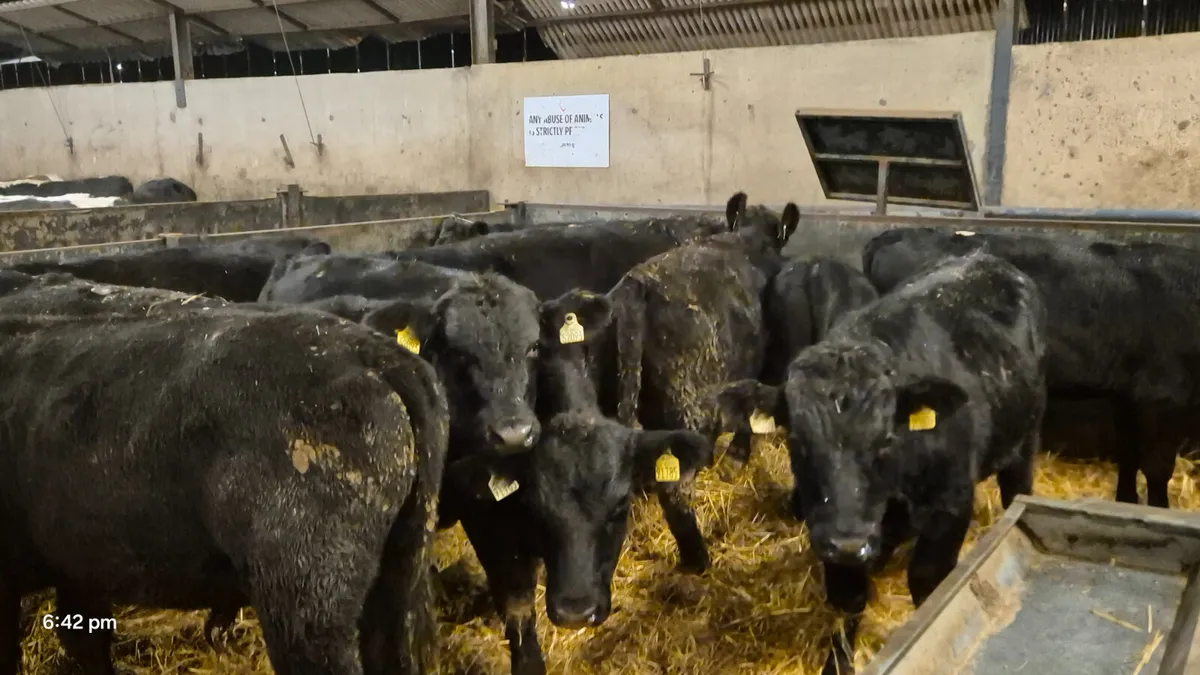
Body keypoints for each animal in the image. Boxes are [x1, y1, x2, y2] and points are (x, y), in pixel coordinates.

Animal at [714, 251, 1048, 675]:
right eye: (798, 443)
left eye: (887, 439)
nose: (848, 544)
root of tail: (985, 257)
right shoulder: (831, 528)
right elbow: (848, 598)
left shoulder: (950, 505)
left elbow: (928, 583)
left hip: (1026, 438)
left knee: (1015, 488)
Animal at [862, 227, 1200, 509]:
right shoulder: (1163, 397)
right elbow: (1157, 468)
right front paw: (1159, 510)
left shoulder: (1129, 394)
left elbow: (1129, 454)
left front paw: (1126, 502)